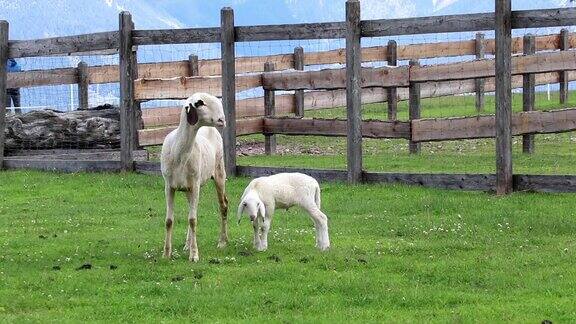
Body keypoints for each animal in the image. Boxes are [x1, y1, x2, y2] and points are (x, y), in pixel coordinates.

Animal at [162, 92, 230, 262]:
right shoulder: (169, 186)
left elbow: (192, 220)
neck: (179, 152)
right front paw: (166, 254)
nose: (222, 120)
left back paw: (222, 241)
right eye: (200, 103)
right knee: (191, 210)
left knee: (223, 205)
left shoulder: (195, 184)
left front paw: (194, 255)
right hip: (188, 188)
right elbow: (169, 221)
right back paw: (187, 244)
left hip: (219, 172)